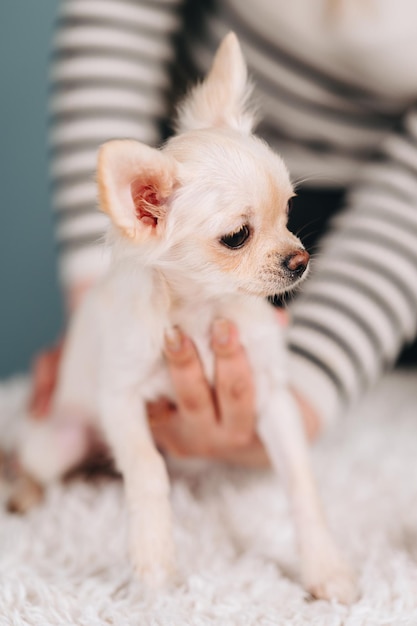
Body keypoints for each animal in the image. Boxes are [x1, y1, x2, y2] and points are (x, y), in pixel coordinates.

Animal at [18, 33, 354, 600]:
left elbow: (301, 482)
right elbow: (148, 471)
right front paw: (155, 565)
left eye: (289, 210)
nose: (300, 260)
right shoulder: (121, 399)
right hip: (57, 439)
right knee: (36, 463)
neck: (201, 309)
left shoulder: (271, 398)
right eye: (237, 236)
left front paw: (325, 568)